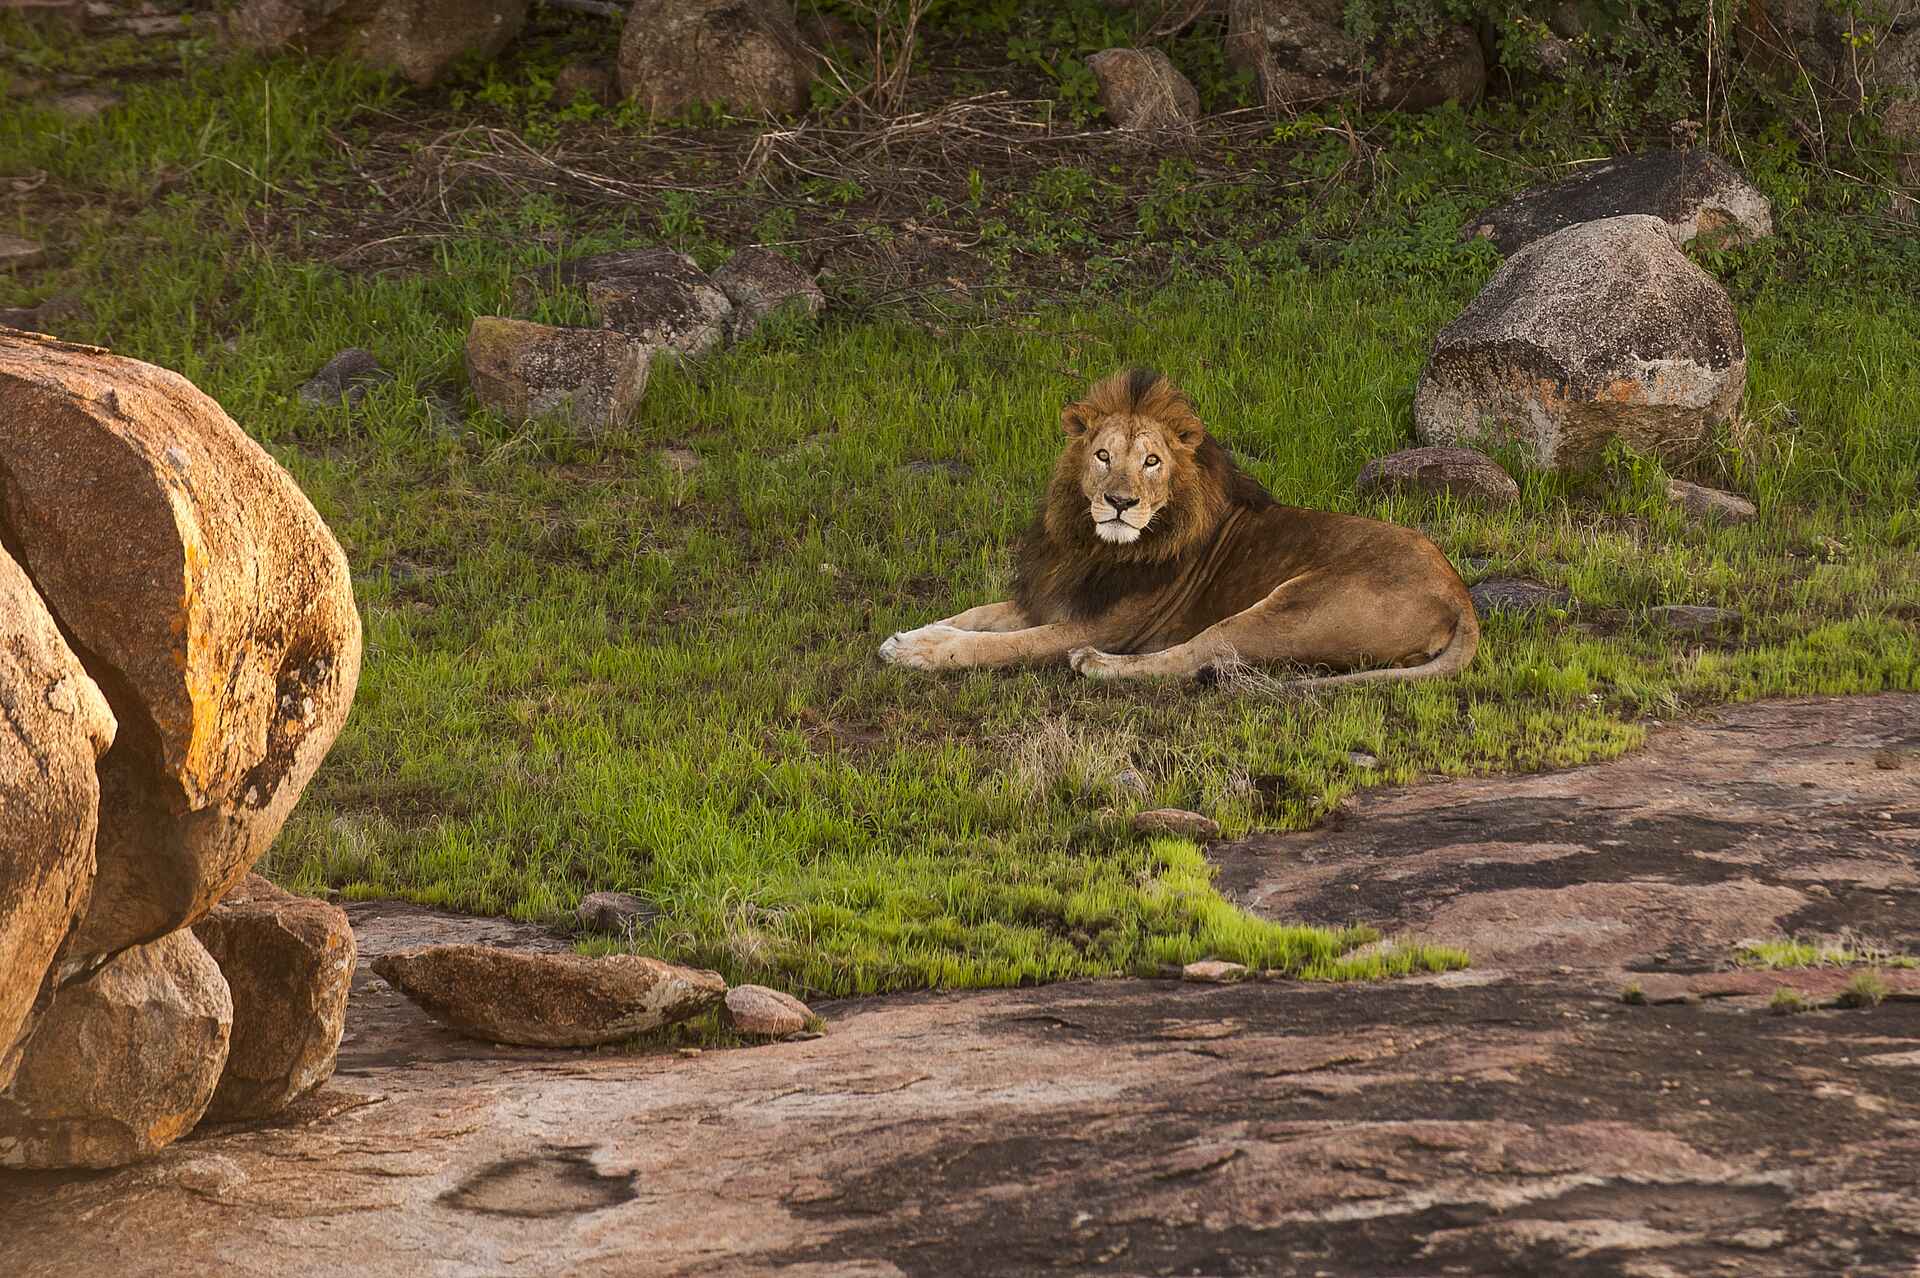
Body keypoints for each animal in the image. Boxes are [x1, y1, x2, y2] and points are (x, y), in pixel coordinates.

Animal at [878, 369, 1479, 687]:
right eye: (1102, 455)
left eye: (1151, 462)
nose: (1119, 503)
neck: (1092, 546)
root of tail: (1461, 598)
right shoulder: (1051, 596)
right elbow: (975, 615)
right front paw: (910, 634)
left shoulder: (1097, 623)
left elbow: (998, 646)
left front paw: (920, 653)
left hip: (1291, 609)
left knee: (1199, 655)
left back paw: (1096, 665)